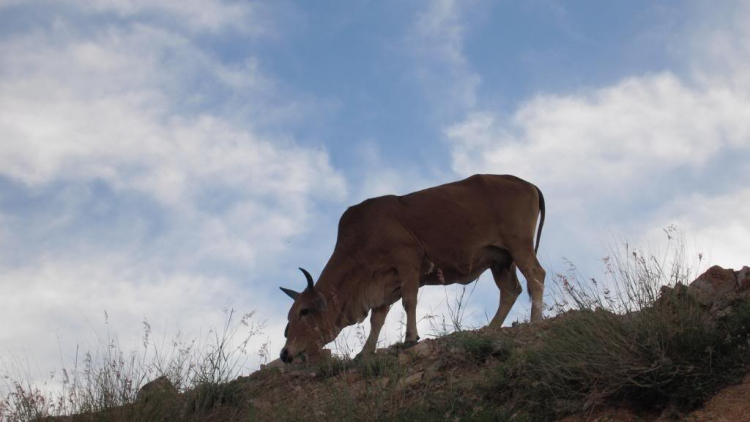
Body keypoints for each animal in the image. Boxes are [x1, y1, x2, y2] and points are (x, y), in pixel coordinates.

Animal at [280, 174, 548, 362]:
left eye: (304, 311)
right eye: (289, 315)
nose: (285, 353)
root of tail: (526, 183)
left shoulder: (407, 262)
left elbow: (409, 302)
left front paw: (410, 338)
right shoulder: (382, 286)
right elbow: (377, 320)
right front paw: (365, 352)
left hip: (519, 245)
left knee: (535, 276)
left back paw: (535, 320)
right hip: (500, 261)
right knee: (511, 291)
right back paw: (492, 327)